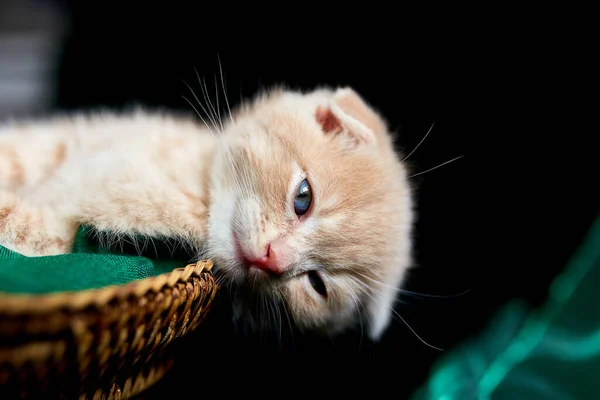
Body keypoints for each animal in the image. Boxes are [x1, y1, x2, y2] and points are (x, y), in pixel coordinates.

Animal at [0, 86, 412, 340]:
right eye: (303, 198)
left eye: (317, 284)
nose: (271, 258)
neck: (196, 186)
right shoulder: (60, 143)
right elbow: (16, 153)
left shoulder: (64, 231)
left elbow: (22, 225)